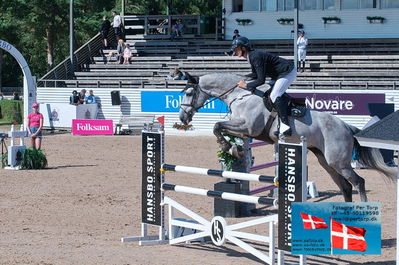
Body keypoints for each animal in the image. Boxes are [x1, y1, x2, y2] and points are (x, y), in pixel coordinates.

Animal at [180, 71, 396, 201]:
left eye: (189, 93)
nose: (182, 117)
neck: (240, 96)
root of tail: (347, 127)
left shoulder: (248, 127)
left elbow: (217, 126)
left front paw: (228, 147)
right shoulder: (243, 129)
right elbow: (220, 128)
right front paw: (234, 148)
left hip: (339, 162)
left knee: (359, 182)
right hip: (326, 161)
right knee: (346, 187)